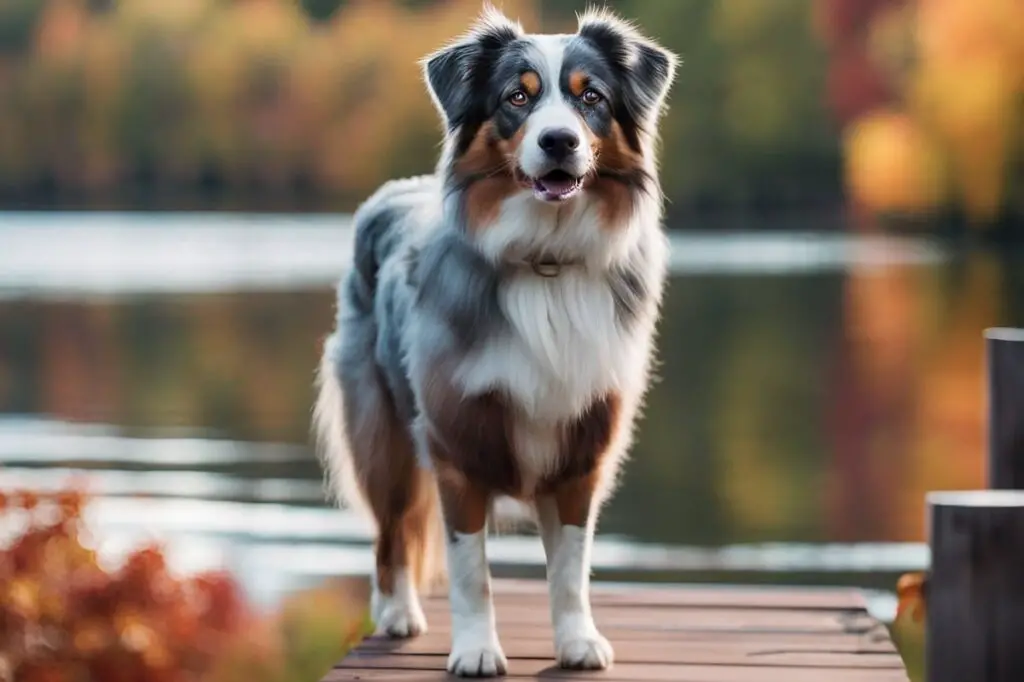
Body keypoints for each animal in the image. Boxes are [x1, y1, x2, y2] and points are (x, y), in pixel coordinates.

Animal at [311, 3, 679, 675]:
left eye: (591, 97)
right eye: (517, 97)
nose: (558, 140)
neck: (546, 259)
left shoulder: (582, 447)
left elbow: (570, 568)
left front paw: (577, 642)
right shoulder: (455, 446)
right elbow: (470, 571)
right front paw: (477, 650)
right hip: (382, 431)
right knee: (391, 529)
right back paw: (398, 612)